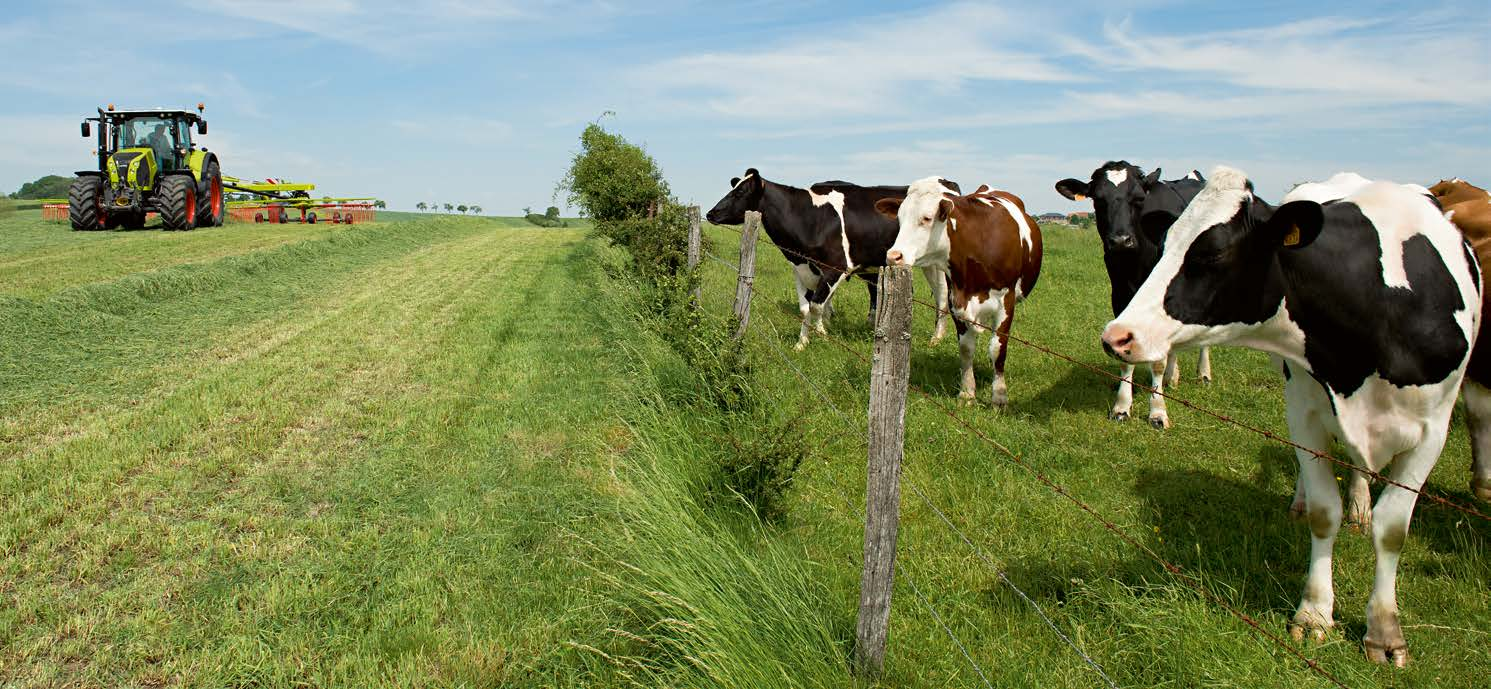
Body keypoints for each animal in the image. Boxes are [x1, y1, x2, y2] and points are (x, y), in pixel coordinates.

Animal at [706, 167, 954, 350]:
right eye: (733, 188)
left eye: (740, 193)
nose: (710, 213)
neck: (810, 218)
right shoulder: (800, 269)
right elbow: (805, 308)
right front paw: (801, 343)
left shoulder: (835, 267)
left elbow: (817, 306)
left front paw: (822, 335)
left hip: (937, 264)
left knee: (942, 297)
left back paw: (936, 338)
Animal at [876, 175, 1043, 405]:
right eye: (900, 219)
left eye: (927, 218)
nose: (894, 256)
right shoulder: (956, 298)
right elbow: (966, 348)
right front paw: (967, 391)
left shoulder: (1006, 301)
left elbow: (998, 348)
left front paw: (999, 396)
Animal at [1061, 163, 1210, 426]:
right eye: (1097, 200)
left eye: (1139, 198)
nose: (1121, 240)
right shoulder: (1120, 296)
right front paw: (1121, 408)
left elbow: (1157, 363)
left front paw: (1158, 412)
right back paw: (1172, 377)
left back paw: (1203, 374)